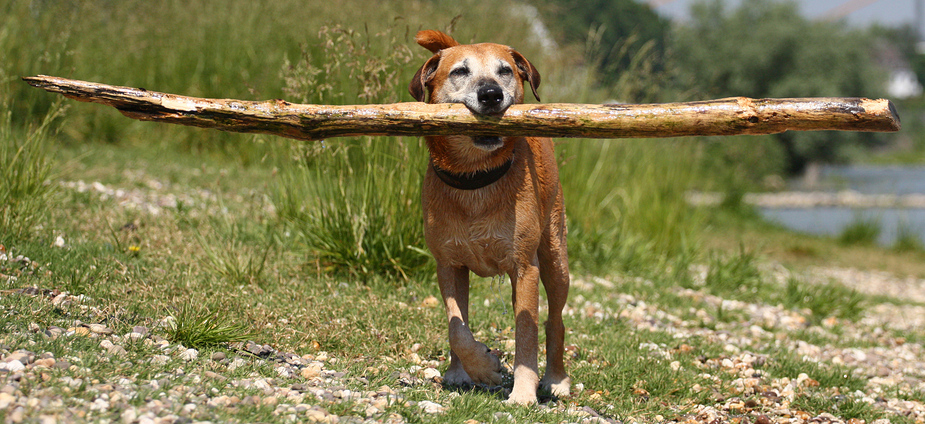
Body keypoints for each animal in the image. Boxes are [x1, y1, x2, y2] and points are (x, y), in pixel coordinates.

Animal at [406, 29, 568, 404]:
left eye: (505, 70)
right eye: (459, 71)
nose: (491, 94)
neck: (475, 179)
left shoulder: (524, 268)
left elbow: (526, 332)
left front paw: (522, 393)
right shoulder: (448, 265)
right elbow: (456, 326)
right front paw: (476, 368)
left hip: (555, 256)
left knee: (555, 320)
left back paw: (557, 379)